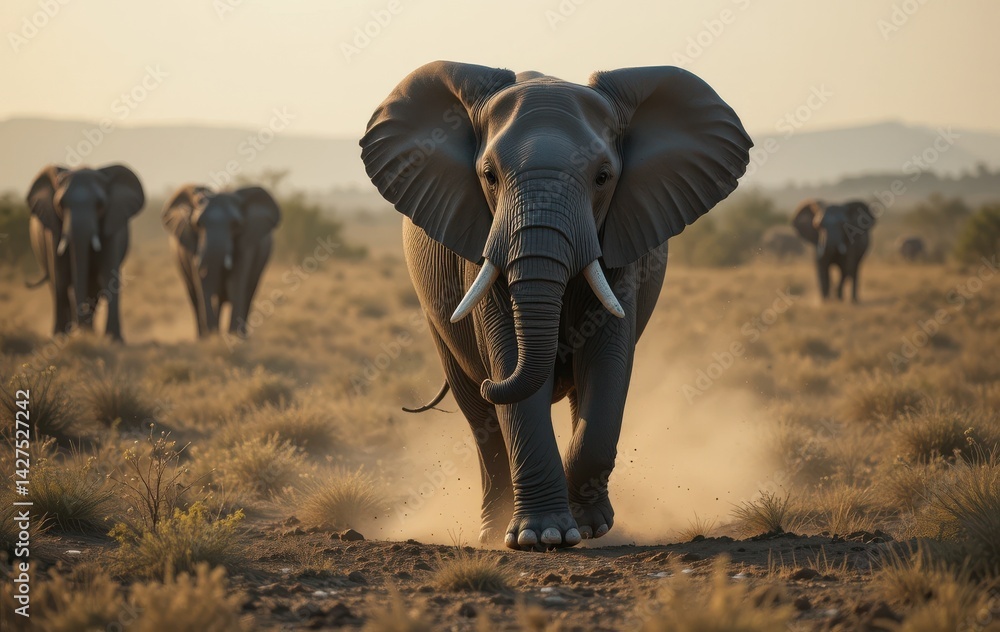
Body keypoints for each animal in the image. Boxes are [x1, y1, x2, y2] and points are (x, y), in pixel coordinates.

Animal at [27, 164, 145, 340]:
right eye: (60, 204)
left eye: (100, 204)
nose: (79, 330)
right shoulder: (53, 230)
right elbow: (60, 276)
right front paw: (60, 337)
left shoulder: (111, 225)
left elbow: (108, 276)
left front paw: (114, 340)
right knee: (57, 284)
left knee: (95, 286)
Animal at [162, 185, 281, 338]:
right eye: (198, 224)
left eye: (235, 225)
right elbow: (202, 286)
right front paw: (212, 338)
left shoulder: (246, 242)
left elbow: (235, 283)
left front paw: (234, 337)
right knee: (195, 297)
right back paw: (203, 337)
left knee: (248, 293)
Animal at [360, 61, 752, 550]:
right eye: (489, 175)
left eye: (603, 177)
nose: (493, 382)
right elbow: (508, 355)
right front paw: (540, 535)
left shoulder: (621, 245)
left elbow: (607, 361)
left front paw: (587, 529)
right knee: (481, 421)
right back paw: (493, 531)